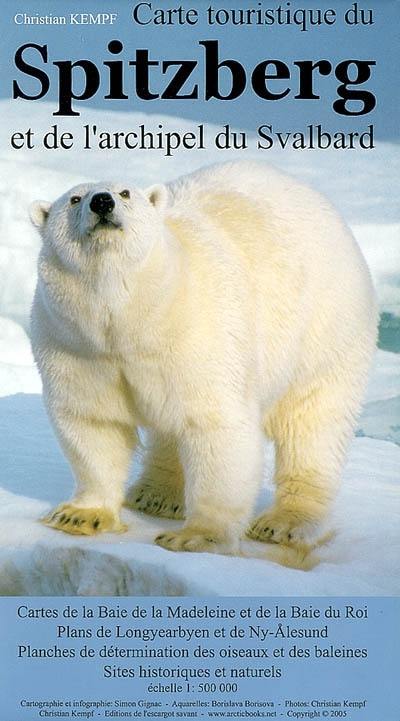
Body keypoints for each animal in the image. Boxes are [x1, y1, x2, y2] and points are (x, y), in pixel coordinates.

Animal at [30, 163, 376, 556]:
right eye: (74, 199)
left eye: (125, 193)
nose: (101, 202)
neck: (133, 320)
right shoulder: (76, 347)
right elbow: (92, 423)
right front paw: (78, 515)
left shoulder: (200, 331)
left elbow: (216, 427)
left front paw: (195, 536)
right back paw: (155, 495)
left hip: (325, 331)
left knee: (312, 425)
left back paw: (285, 522)